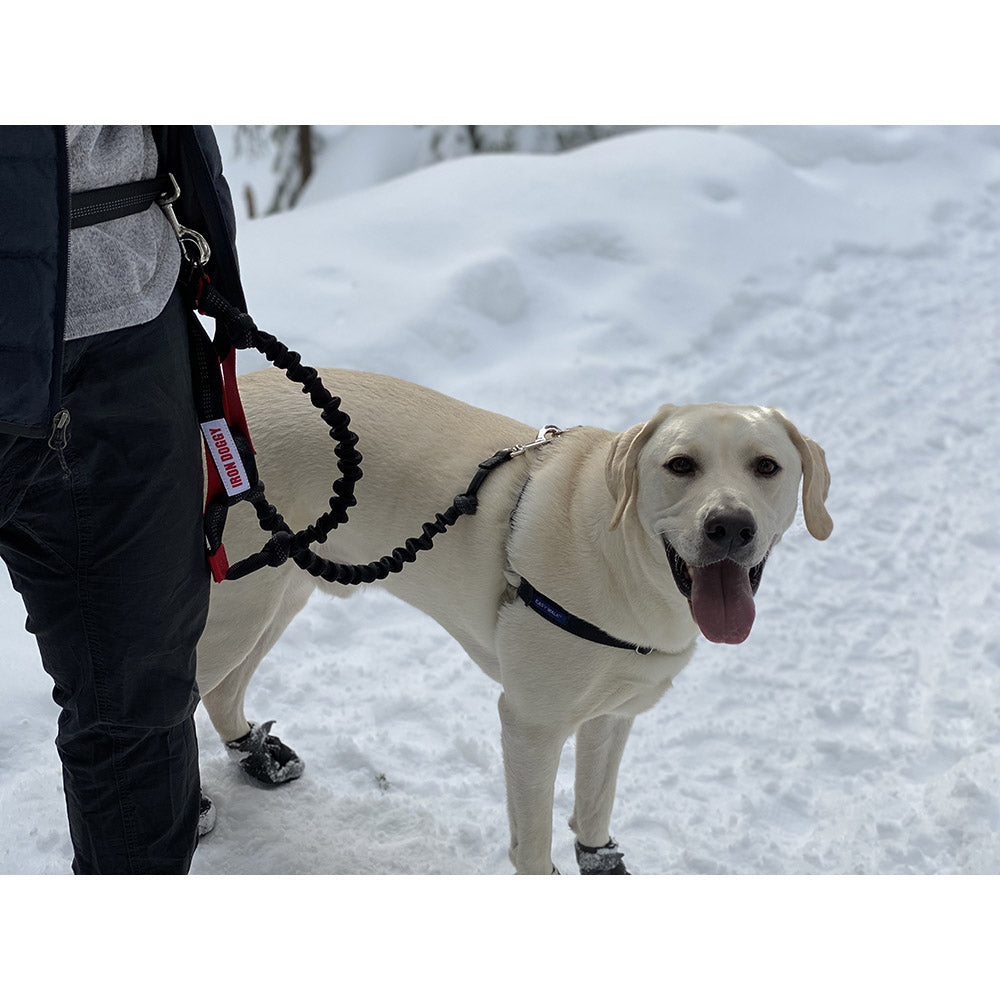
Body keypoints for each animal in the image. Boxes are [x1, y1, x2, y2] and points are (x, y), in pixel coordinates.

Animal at [193, 370, 828, 876]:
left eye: (766, 466)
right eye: (680, 465)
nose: (730, 526)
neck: (625, 562)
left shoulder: (612, 714)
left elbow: (594, 809)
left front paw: (602, 861)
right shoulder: (530, 724)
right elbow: (534, 843)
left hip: (278, 594)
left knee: (223, 692)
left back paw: (255, 754)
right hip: (233, 610)